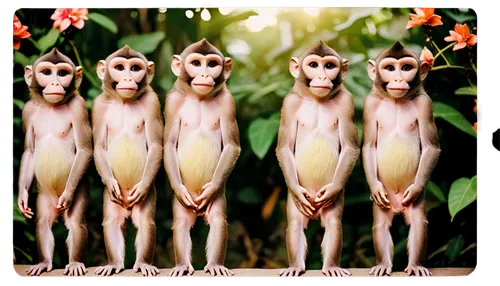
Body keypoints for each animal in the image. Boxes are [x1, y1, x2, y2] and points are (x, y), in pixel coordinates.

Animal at [18, 48, 93, 278]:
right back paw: (44, 262)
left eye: (62, 73)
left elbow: (84, 149)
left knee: (76, 224)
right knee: (43, 223)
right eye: (46, 72)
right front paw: (21, 198)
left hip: (79, 188)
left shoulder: (79, 106)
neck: (51, 106)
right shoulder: (27, 110)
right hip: (44, 197)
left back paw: (75, 262)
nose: (54, 83)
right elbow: (29, 152)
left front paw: (66, 196)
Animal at [91, 45, 162, 278]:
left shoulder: (152, 102)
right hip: (114, 202)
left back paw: (143, 264)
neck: (124, 100)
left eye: (135, 68)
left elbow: (156, 145)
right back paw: (114, 263)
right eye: (120, 68)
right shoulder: (98, 105)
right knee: (112, 222)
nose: (128, 78)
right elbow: (98, 147)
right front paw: (110, 182)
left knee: (145, 222)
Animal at [164, 38, 240, 278]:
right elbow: (168, 144)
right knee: (181, 223)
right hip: (184, 205)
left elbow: (232, 146)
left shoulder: (228, 102)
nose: (205, 74)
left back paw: (215, 265)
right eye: (196, 63)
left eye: (212, 64)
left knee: (217, 221)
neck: (199, 98)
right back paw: (182, 266)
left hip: (217, 200)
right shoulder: (172, 101)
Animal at [276, 40, 362, 278]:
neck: (316, 99)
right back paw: (295, 266)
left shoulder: (347, 102)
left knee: (333, 224)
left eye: (329, 66)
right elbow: (284, 147)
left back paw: (331, 267)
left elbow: (350, 147)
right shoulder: (289, 103)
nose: (323, 77)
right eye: (314, 65)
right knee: (295, 223)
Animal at [362, 41, 440, 278]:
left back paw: (415, 265)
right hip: (385, 202)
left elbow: (431, 147)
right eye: (390, 68)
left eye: (405, 68)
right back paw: (383, 264)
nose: (398, 79)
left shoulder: (425, 104)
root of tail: (397, 205)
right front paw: (374, 187)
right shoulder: (369, 104)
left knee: (418, 223)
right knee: (380, 225)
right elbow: (368, 145)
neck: (395, 100)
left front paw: (415, 190)